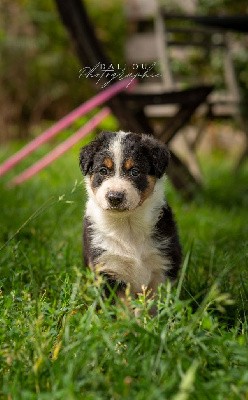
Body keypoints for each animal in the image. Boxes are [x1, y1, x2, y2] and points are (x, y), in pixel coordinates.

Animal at [79, 130, 182, 300]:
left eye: (135, 172)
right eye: (103, 170)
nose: (114, 197)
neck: (128, 224)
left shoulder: (165, 264)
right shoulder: (107, 267)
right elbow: (120, 305)